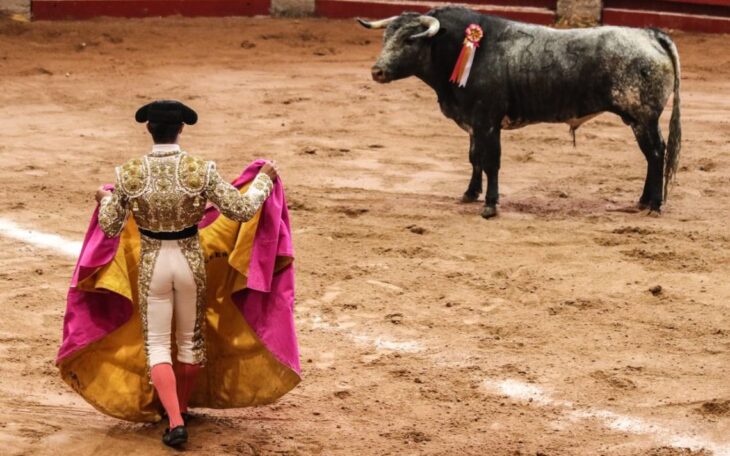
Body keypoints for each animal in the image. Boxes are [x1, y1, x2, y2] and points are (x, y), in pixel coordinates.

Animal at [356, 6, 680, 218]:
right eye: (386, 38)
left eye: (410, 40)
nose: (377, 71)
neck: (463, 49)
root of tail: (650, 34)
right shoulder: (473, 122)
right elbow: (474, 158)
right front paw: (470, 194)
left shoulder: (488, 120)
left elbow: (491, 161)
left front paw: (490, 205)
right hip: (641, 119)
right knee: (654, 155)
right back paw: (643, 201)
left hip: (643, 118)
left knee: (655, 154)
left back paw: (654, 205)